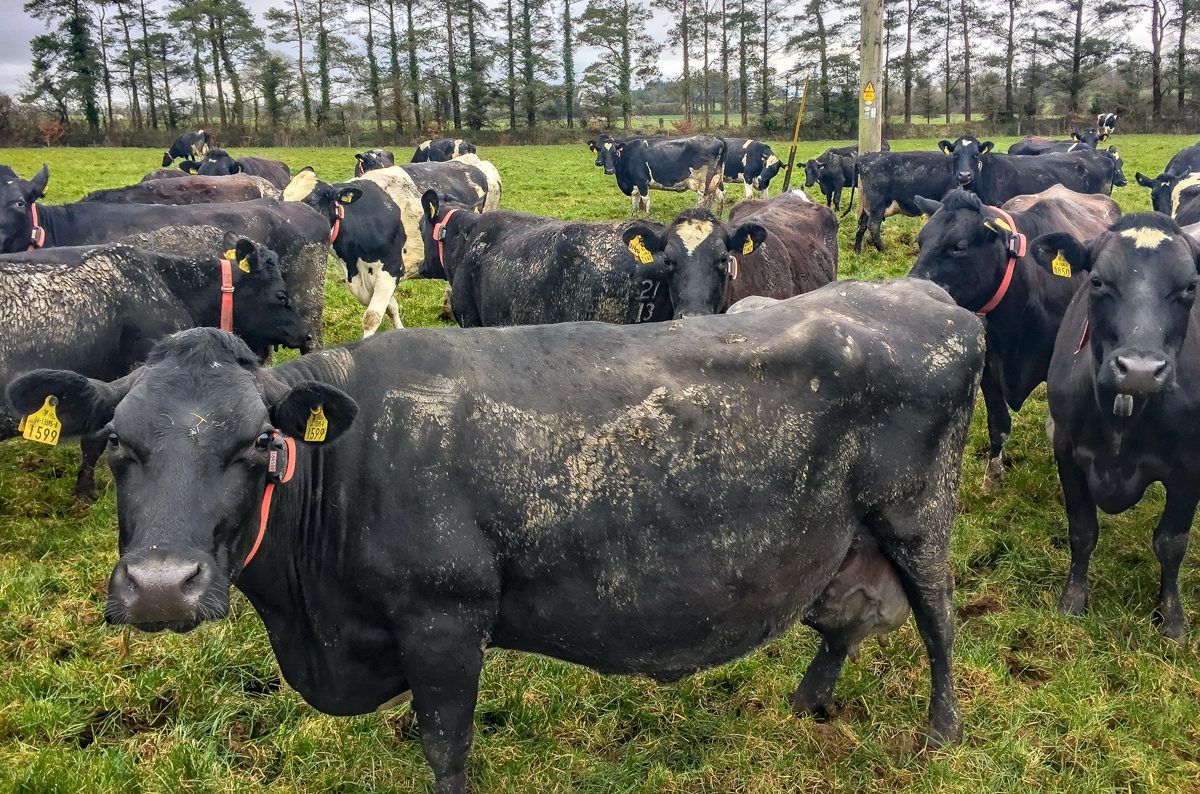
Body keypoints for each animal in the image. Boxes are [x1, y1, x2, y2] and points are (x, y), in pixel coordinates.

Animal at [6, 278, 984, 791]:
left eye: (257, 447)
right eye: (118, 444)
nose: (160, 587)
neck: (315, 623)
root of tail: (929, 294)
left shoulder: (446, 616)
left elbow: (447, 746)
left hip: (917, 515)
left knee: (938, 620)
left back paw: (940, 735)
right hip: (848, 538)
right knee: (843, 621)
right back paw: (806, 702)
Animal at [588, 134, 727, 217]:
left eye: (614, 151)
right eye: (599, 149)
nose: (609, 170)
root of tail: (717, 138)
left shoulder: (641, 182)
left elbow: (646, 202)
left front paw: (647, 219)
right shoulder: (634, 185)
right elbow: (635, 205)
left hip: (702, 181)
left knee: (703, 199)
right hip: (715, 180)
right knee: (719, 197)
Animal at [1035, 213, 1200, 638]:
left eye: (1190, 286)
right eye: (1097, 281)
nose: (1140, 369)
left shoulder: (1190, 466)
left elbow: (1171, 542)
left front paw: (1171, 617)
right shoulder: (1067, 450)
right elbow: (1082, 530)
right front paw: (1073, 599)